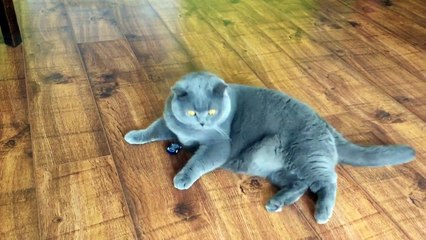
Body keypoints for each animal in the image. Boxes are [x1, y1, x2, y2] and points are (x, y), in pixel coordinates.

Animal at [124, 71, 416, 223]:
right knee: (301, 184)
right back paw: (277, 203)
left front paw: (182, 178)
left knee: (327, 180)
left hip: (303, 154)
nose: (204, 122)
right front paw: (133, 135)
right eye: (193, 113)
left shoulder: (218, 146)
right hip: (271, 165)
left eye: (213, 111)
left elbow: (197, 161)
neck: (192, 133)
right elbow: (153, 128)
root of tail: (325, 125)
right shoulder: (170, 123)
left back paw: (322, 213)